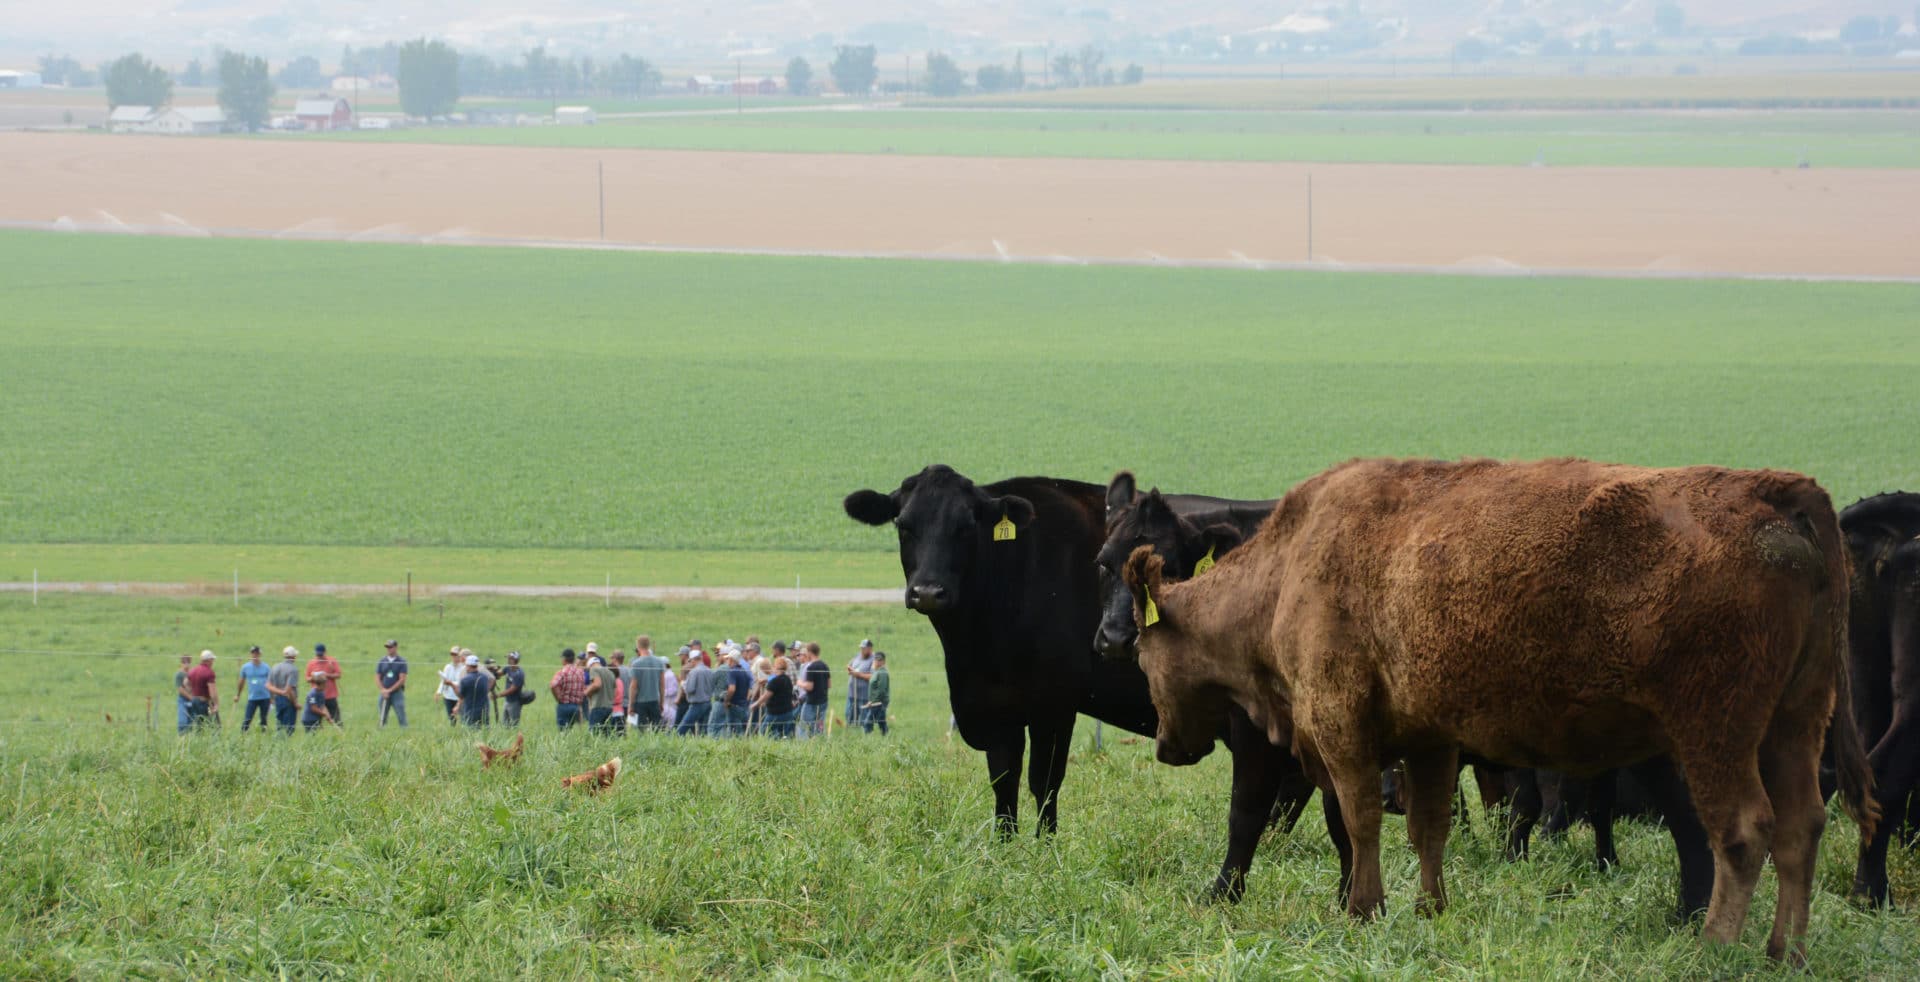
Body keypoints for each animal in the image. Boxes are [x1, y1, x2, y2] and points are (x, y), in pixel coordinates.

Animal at [1121, 459, 1873, 960]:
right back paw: (1784, 951)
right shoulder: (1429, 740)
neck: (1290, 566)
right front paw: (1430, 909)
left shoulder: (1343, 729)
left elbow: (1360, 821)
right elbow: (1428, 826)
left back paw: (1713, 947)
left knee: (1742, 831)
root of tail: (1779, 492)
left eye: (1140, 652)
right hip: (1794, 724)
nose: (1166, 746)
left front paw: (1363, 911)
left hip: (1715, 731)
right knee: (1801, 826)